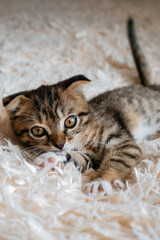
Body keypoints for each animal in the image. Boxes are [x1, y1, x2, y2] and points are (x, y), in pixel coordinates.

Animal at [1, 18, 159, 195]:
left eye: (70, 121)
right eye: (38, 131)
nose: (60, 145)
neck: (83, 133)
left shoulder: (125, 144)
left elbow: (117, 160)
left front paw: (101, 181)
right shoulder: (92, 156)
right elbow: (82, 158)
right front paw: (53, 158)